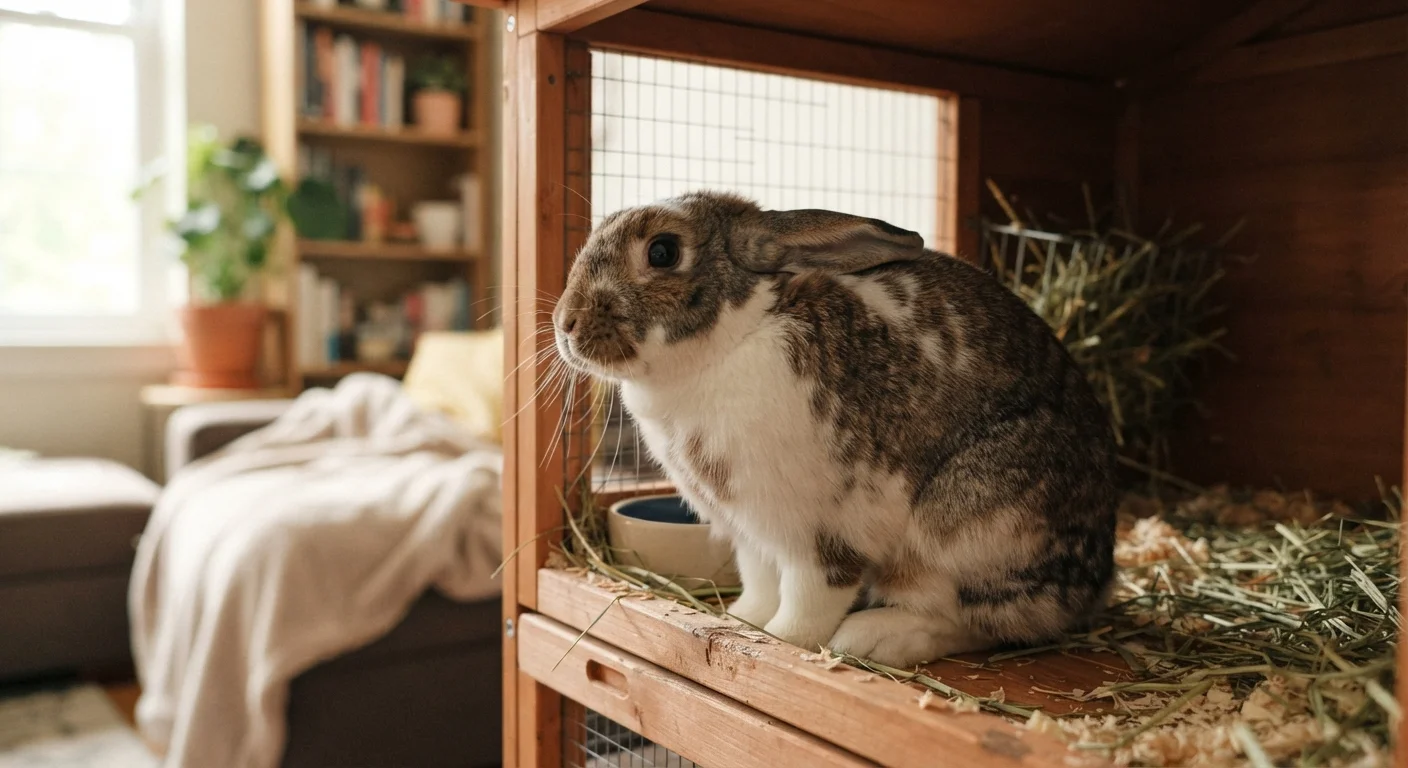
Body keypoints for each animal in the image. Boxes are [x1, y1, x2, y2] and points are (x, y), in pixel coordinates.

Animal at [551, 190, 1119, 667]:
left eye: (663, 251)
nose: (565, 323)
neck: (733, 339)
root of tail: (1096, 582)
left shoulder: (818, 533)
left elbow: (811, 595)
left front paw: (782, 639)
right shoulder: (751, 535)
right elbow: (760, 584)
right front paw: (741, 620)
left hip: (967, 527)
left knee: (981, 619)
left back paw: (872, 638)